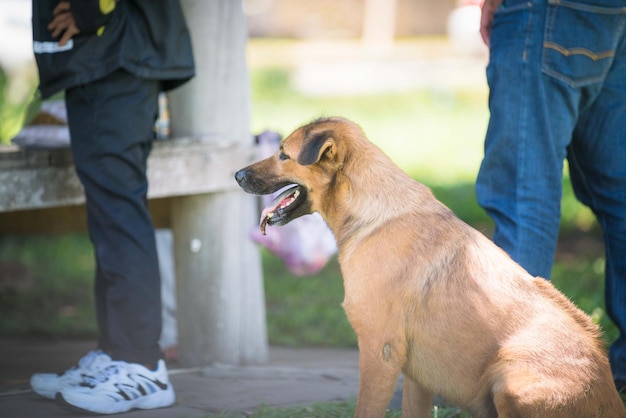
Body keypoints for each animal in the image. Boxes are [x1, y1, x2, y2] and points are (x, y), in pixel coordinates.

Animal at [234, 117, 624, 418]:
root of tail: (612, 398)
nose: (236, 174)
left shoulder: (379, 351)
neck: (372, 214)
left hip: (509, 378)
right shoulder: (416, 376)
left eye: (284, 154)